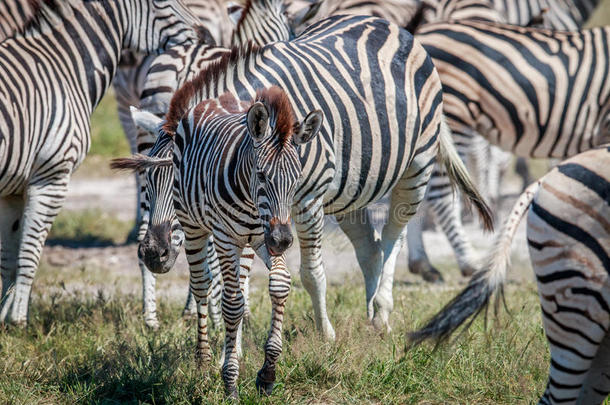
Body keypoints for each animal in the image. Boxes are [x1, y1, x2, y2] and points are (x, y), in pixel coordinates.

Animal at [0, 0, 202, 326]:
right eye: (164, 3)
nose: (201, 33)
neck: (67, 68)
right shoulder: (51, 176)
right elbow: (29, 253)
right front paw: (18, 319)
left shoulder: (14, 189)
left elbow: (9, 256)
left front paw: (5, 315)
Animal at [113, 15, 494, 394]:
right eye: (146, 180)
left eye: (179, 182)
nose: (152, 254)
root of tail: (388, 24)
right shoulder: (256, 217)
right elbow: (245, 282)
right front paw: (232, 353)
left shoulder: (307, 200)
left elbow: (311, 274)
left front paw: (325, 337)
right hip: (350, 189)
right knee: (369, 246)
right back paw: (371, 316)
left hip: (417, 164)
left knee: (392, 238)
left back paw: (383, 311)